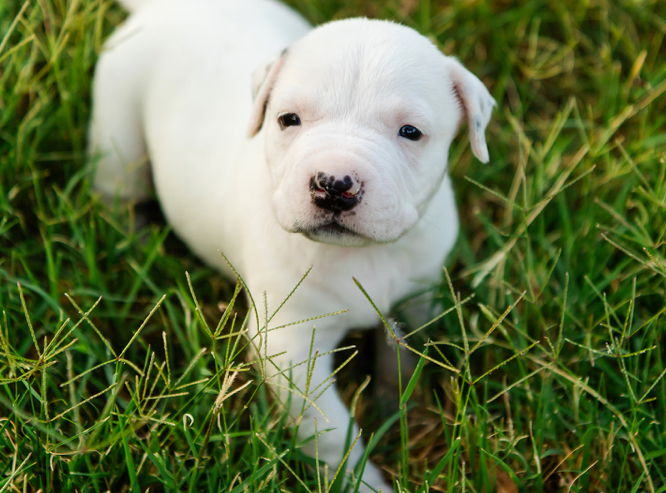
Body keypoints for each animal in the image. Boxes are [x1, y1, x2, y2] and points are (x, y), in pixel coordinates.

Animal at [89, 1, 492, 490]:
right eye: (288, 120)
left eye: (410, 132)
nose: (334, 184)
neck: (360, 255)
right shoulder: (290, 345)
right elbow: (329, 429)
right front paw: (359, 480)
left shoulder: (418, 294)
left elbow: (402, 354)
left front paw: (400, 410)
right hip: (118, 129)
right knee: (119, 188)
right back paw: (137, 241)